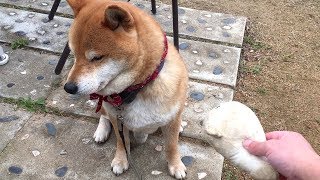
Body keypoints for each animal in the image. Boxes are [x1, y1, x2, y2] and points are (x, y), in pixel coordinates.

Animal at [64, 0, 189, 179]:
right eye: (73, 54)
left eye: (97, 58)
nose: (68, 87)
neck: (136, 89)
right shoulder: (117, 119)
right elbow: (121, 141)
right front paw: (120, 160)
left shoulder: (171, 118)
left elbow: (172, 146)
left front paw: (176, 165)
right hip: (105, 107)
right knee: (103, 116)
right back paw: (101, 132)